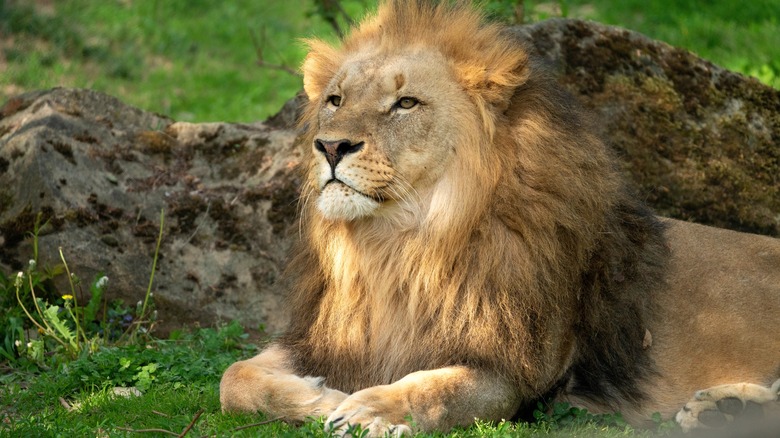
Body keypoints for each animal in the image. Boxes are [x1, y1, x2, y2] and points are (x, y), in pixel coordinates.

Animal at [220, 1, 780, 435]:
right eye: (335, 100)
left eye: (406, 103)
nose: (331, 146)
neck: (397, 244)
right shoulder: (328, 338)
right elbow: (234, 378)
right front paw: (320, 396)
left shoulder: (515, 369)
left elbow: (434, 389)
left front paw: (369, 409)